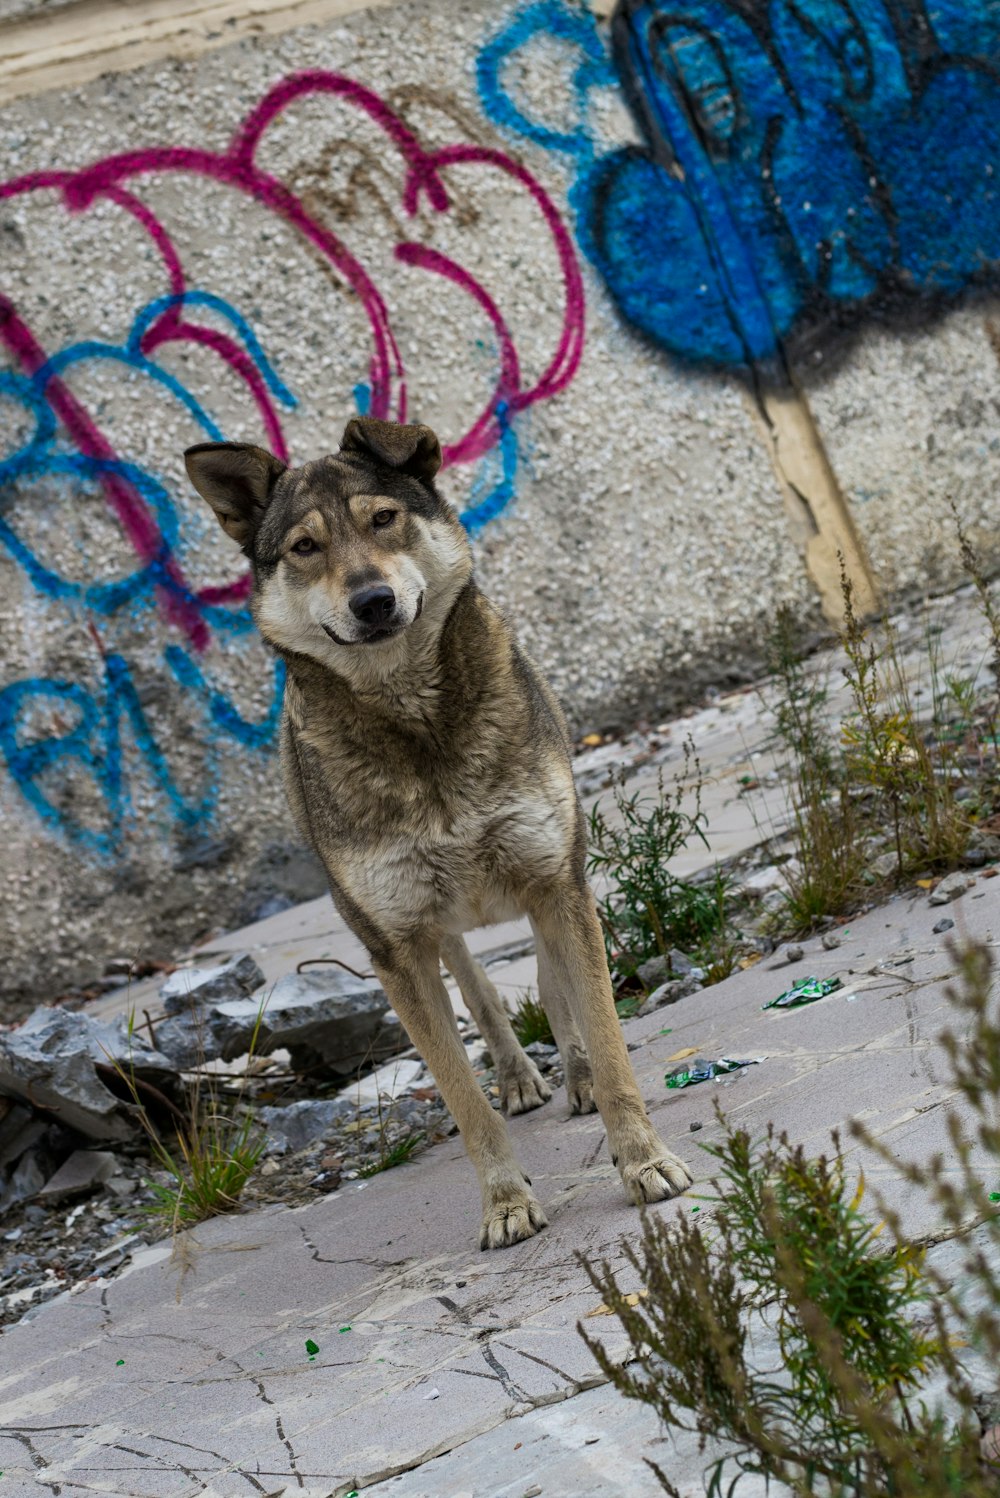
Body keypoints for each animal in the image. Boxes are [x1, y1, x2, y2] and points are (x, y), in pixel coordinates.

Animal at [183, 416, 691, 1246]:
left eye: (384, 519)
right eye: (305, 547)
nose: (372, 600)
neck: (413, 713)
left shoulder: (558, 882)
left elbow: (605, 1037)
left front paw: (643, 1161)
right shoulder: (394, 949)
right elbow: (464, 1096)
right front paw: (506, 1202)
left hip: (547, 888)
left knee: (552, 986)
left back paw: (575, 1074)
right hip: (438, 922)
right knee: (479, 989)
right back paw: (519, 1076)